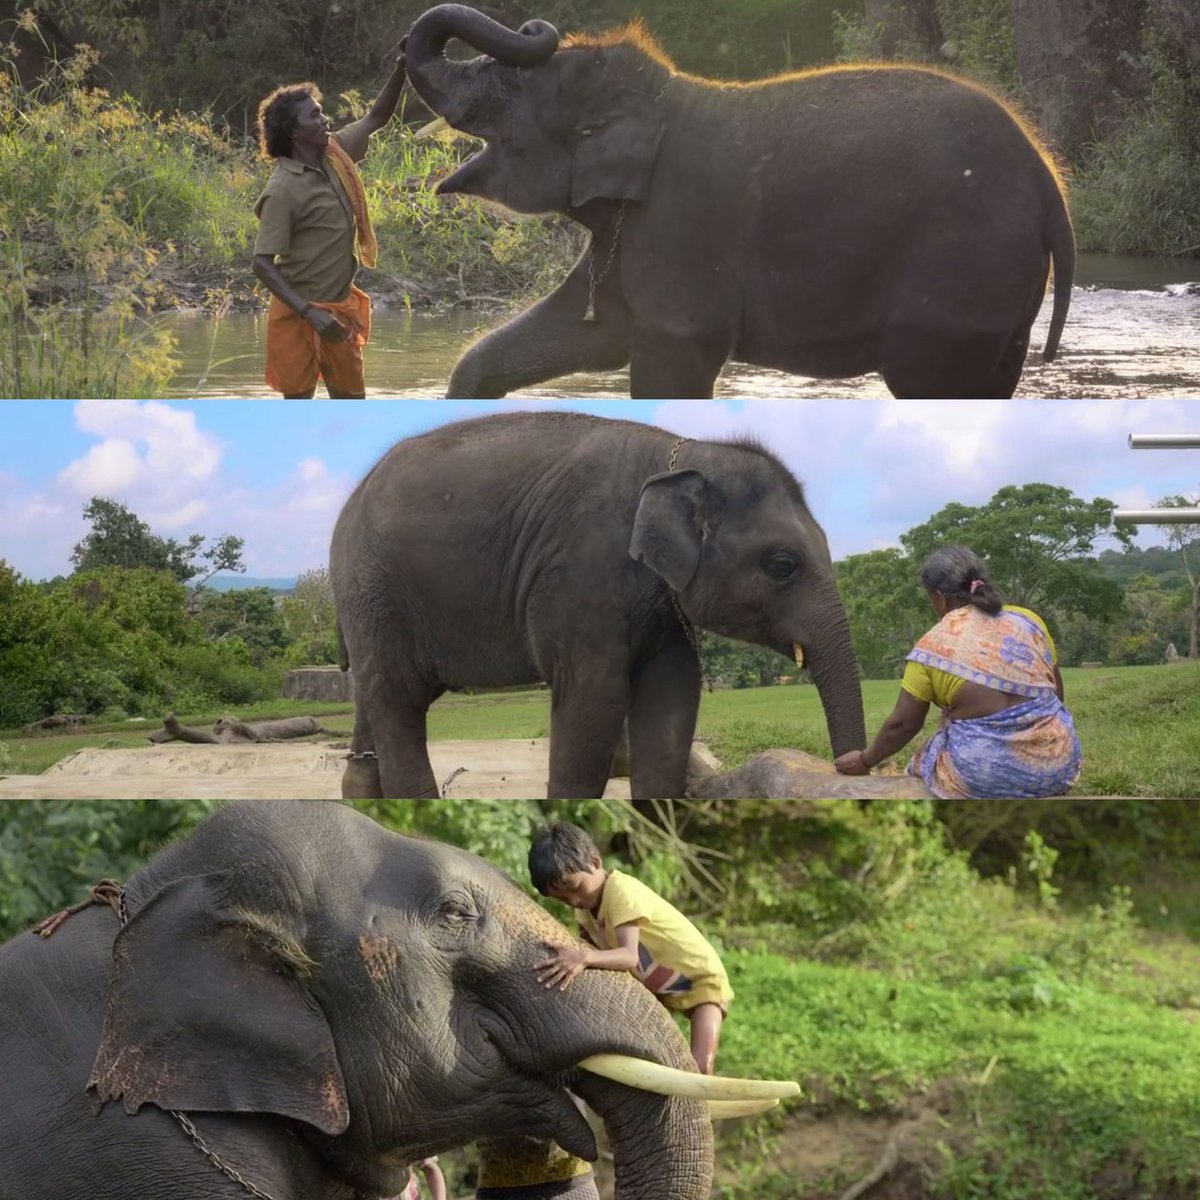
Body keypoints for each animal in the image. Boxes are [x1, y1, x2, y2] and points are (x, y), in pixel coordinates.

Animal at [330, 410, 865, 801]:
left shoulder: (661, 603)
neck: (684, 453)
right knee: (398, 697)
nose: (849, 767)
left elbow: (672, 697)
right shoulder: (581, 570)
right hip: (373, 590)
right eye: (783, 565)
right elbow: (594, 697)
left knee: (375, 692)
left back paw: (360, 794)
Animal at [405, 4, 1075, 400]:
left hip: (961, 268)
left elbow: (672, 354)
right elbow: (587, 333)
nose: (532, 28)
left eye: (510, 84)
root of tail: (1050, 189)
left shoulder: (679, 227)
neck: (662, 98)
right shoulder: (632, 231)